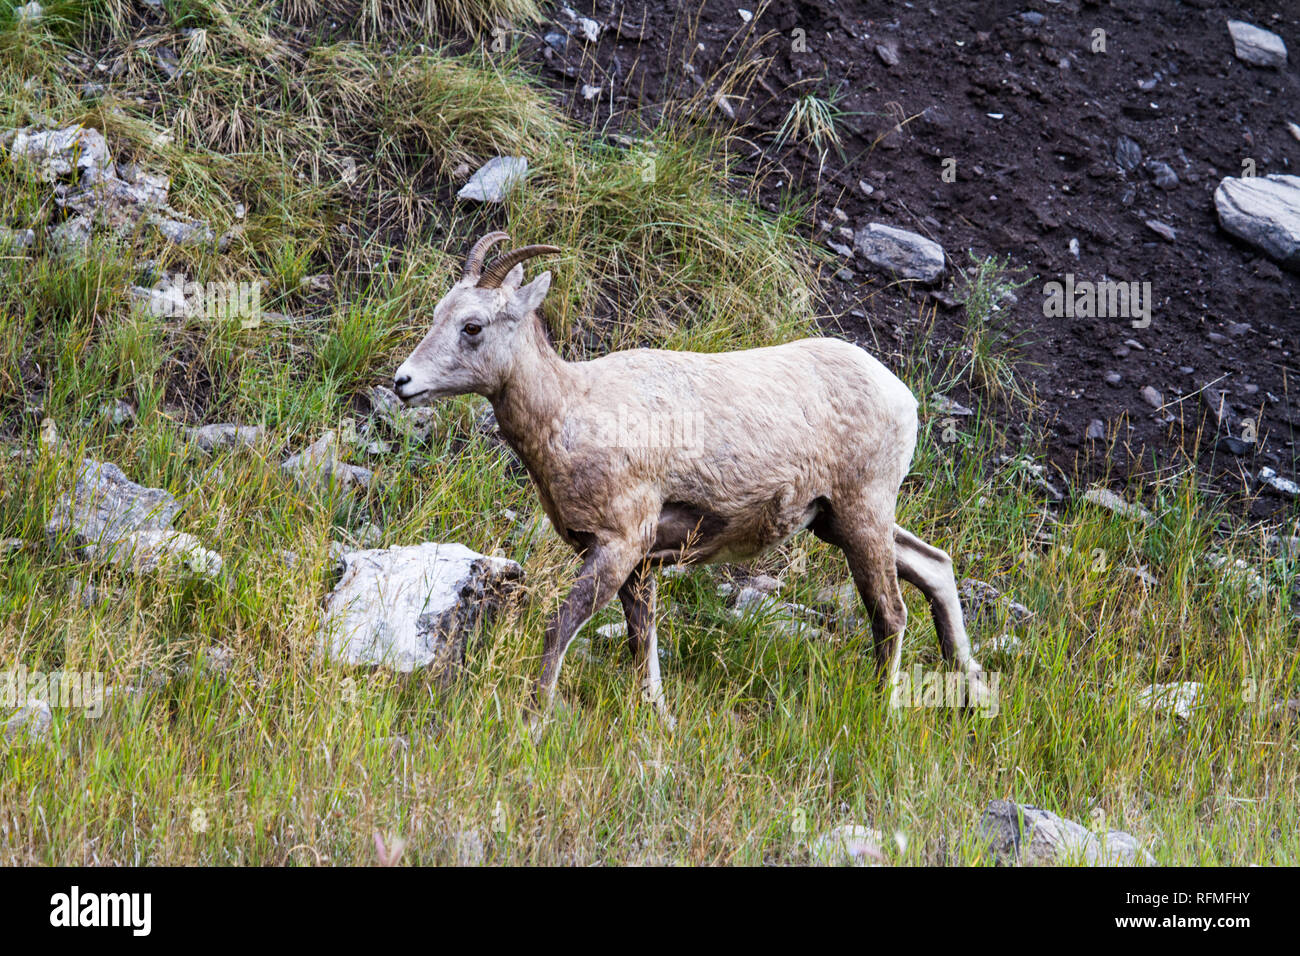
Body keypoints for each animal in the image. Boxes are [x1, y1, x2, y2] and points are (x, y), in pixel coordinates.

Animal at [393, 232, 984, 726]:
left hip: (862, 514)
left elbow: (560, 627)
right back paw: (970, 693)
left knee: (891, 613)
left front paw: (535, 718)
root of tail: (901, 395)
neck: (572, 410)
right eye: (441, 313)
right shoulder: (638, 565)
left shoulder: (618, 547)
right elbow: (642, 644)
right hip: (835, 522)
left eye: (473, 326)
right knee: (934, 566)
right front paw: (659, 719)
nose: (403, 382)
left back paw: (883, 710)